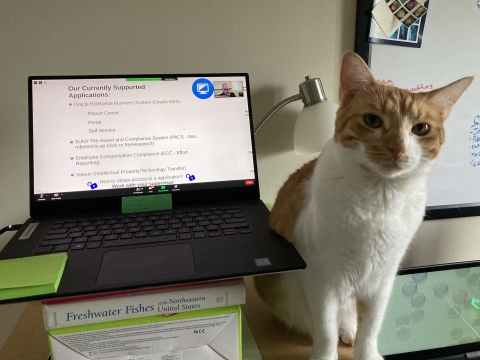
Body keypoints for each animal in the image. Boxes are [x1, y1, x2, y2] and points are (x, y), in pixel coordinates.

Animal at [255, 51, 472, 360]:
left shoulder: (383, 280)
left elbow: (371, 328)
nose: (397, 148)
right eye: (372, 121)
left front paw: (366, 351)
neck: (380, 199)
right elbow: (325, 331)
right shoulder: (322, 280)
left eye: (420, 129)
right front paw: (326, 354)